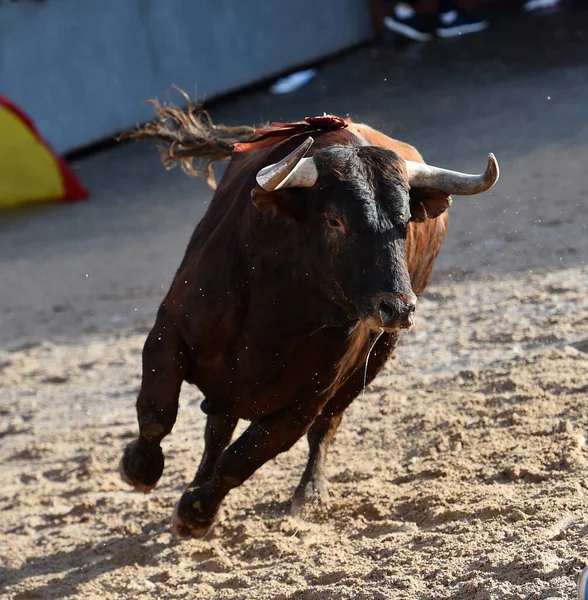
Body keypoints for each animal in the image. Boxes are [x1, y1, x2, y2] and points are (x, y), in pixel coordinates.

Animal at [118, 103, 496, 540]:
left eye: (405, 222)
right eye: (334, 220)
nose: (398, 309)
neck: (275, 309)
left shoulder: (306, 401)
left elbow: (241, 460)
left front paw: (196, 513)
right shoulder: (168, 332)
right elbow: (157, 413)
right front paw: (139, 469)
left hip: (375, 357)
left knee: (320, 428)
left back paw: (309, 494)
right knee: (216, 430)